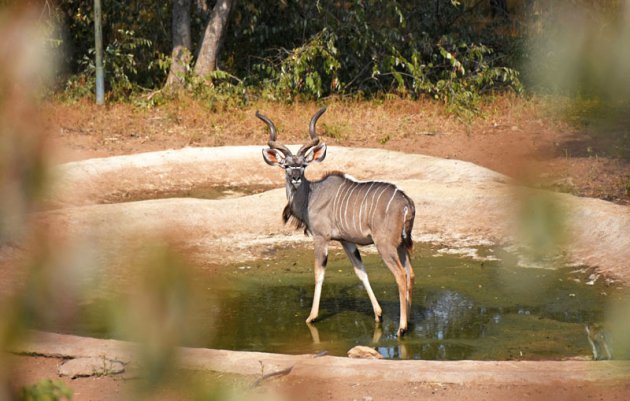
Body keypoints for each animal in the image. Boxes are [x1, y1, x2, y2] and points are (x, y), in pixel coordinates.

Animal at [260, 107, 418, 334]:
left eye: (304, 165)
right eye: (287, 165)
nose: (296, 178)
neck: (311, 194)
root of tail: (407, 203)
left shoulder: (321, 238)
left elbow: (319, 274)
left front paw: (311, 317)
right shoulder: (346, 241)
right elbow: (361, 272)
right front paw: (378, 314)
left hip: (386, 246)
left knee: (400, 275)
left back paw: (401, 328)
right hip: (402, 245)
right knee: (410, 273)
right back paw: (410, 322)